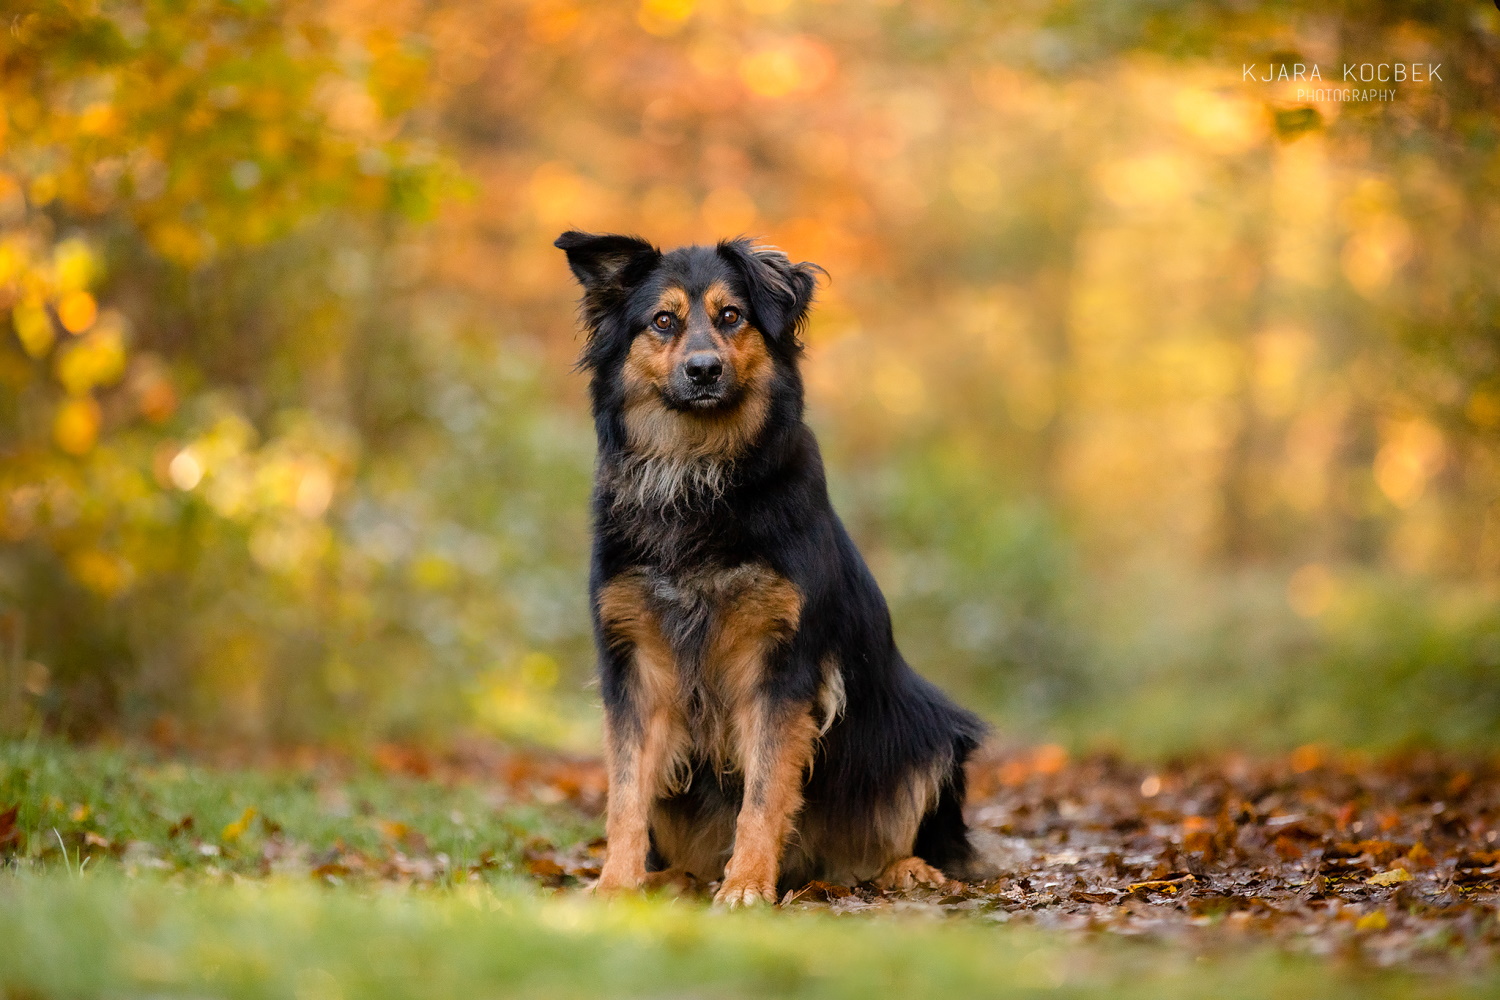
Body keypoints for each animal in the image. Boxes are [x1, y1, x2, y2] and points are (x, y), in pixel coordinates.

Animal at [558, 230, 990, 905]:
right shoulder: (637, 668)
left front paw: (746, 887)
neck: (697, 474)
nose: (703, 370)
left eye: (732, 316)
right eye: (663, 321)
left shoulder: (781, 665)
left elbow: (763, 792)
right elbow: (626, 795)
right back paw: (670, 878)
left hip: (932, 730)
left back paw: (906, 870)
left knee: (896, 837)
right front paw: (615, 886)